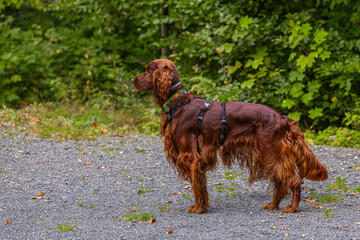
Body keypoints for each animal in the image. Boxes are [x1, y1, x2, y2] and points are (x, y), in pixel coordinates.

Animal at [131, 59, 326, 213]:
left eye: (149, 70)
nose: (132, 79)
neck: (179, 102)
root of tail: (283, 118)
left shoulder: (190, 155)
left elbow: (196, 185)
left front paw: (198, 208)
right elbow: (201, 184)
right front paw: (203, 206)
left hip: (271, 152)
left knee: (293, 179)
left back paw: (292, 207)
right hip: (267, 155)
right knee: (280, 180)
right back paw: (273, 205)